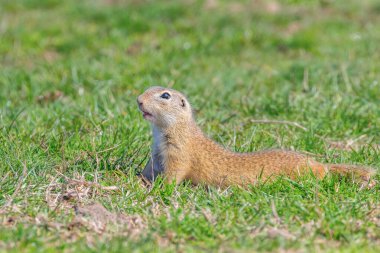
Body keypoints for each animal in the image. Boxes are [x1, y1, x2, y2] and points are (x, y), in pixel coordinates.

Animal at [137, 86, 374, 187]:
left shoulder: (179, 152)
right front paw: (138, 177)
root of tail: (319, 165)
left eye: (165, 95)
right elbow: (149, 168)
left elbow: (175, 173)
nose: (138, 100)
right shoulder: (156, 153)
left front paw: (159, 188)